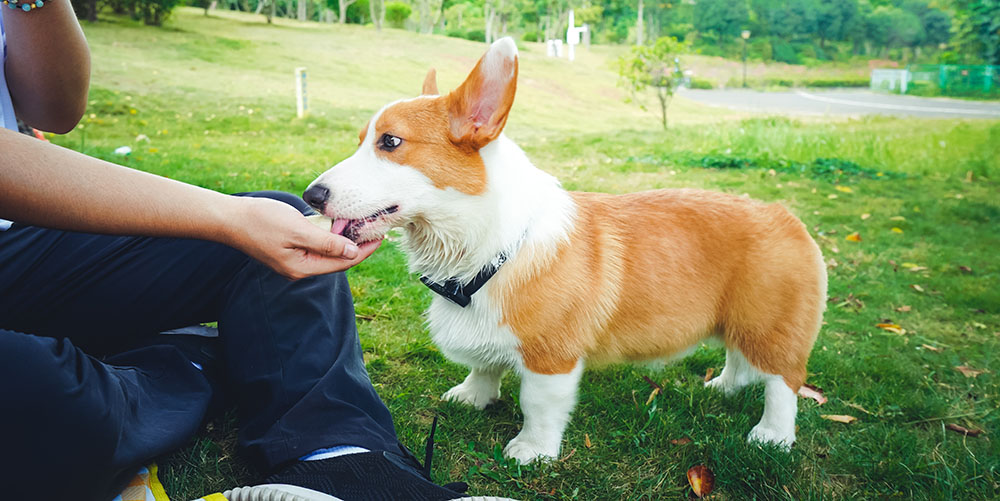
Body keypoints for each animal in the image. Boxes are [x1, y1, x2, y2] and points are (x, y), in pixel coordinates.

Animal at [304, 37, 828, 462]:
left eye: (391, 142)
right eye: (361, 141)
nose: (311, 196)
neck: (486, 245)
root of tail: (782, 213)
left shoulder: (550, 357)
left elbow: (537, 405)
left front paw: (531, 450)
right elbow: (483, 366)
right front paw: (473, 396)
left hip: (770, 324)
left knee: (783, 382)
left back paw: (772, 435)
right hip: (741, 320)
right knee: (741, 359)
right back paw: (725, 387)